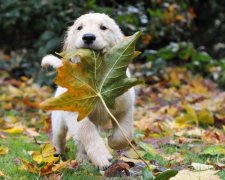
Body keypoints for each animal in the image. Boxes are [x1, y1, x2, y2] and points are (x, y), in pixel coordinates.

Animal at [41, 12, 134, 169]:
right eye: (79, 28)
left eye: (103, 27)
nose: (88, 37)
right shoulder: (76, 113)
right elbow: (87, 131)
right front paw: (101, 156)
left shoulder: (125, 106)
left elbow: (124, 134)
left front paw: (111, 142)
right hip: (58, 121)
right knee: (60, 139)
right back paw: (60, 157)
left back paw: (82, 159)